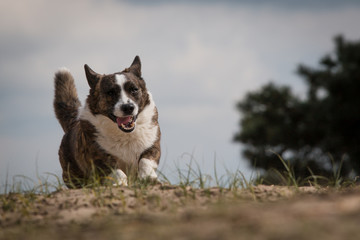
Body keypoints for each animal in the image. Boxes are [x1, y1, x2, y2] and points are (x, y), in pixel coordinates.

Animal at [53, 56, 160, 188]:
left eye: (134, 90)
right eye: (110, 92)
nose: (128, 107)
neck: (124, 134)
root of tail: (73, 123)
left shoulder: (153, 147)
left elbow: (145, 161)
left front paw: (148, 178)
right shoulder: (100, 157)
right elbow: (117, 171)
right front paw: (120, 183)